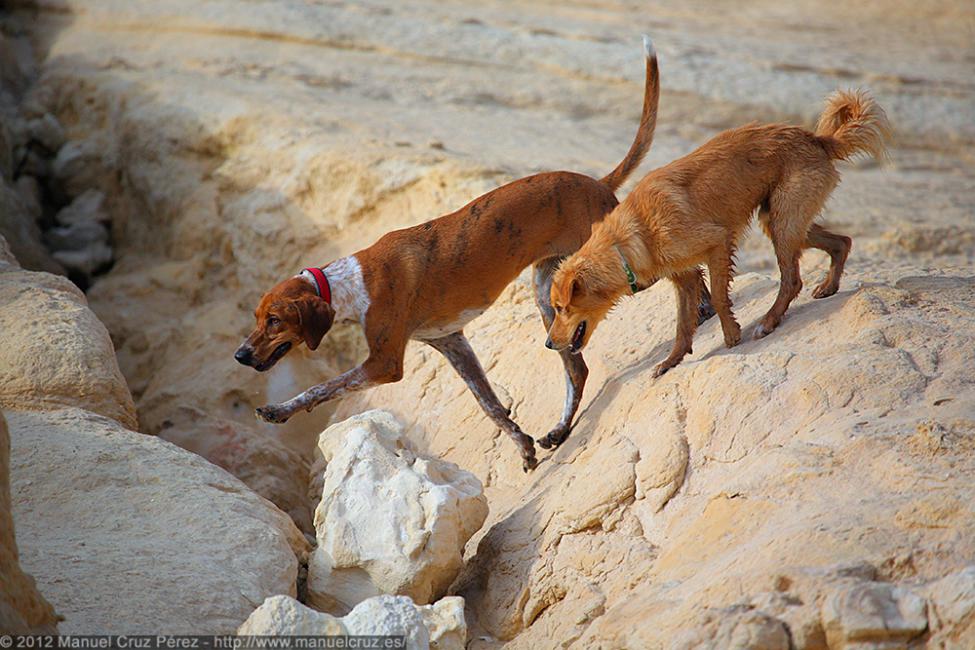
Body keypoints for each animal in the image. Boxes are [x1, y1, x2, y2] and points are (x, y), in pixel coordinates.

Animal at [548, 89, 892, 378]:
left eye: (561, 308)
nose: (549, 344)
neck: (630, 237)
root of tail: (816, 139)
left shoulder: (717, 242)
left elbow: (718, 295)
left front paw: (731, 335)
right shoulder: (684, 278)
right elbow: (682, 325)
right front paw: (672, 361)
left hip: (783, 222)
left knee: (792, 279)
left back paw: (768, 322)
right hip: (781, 219)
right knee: (842, 242)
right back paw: (829, 286)